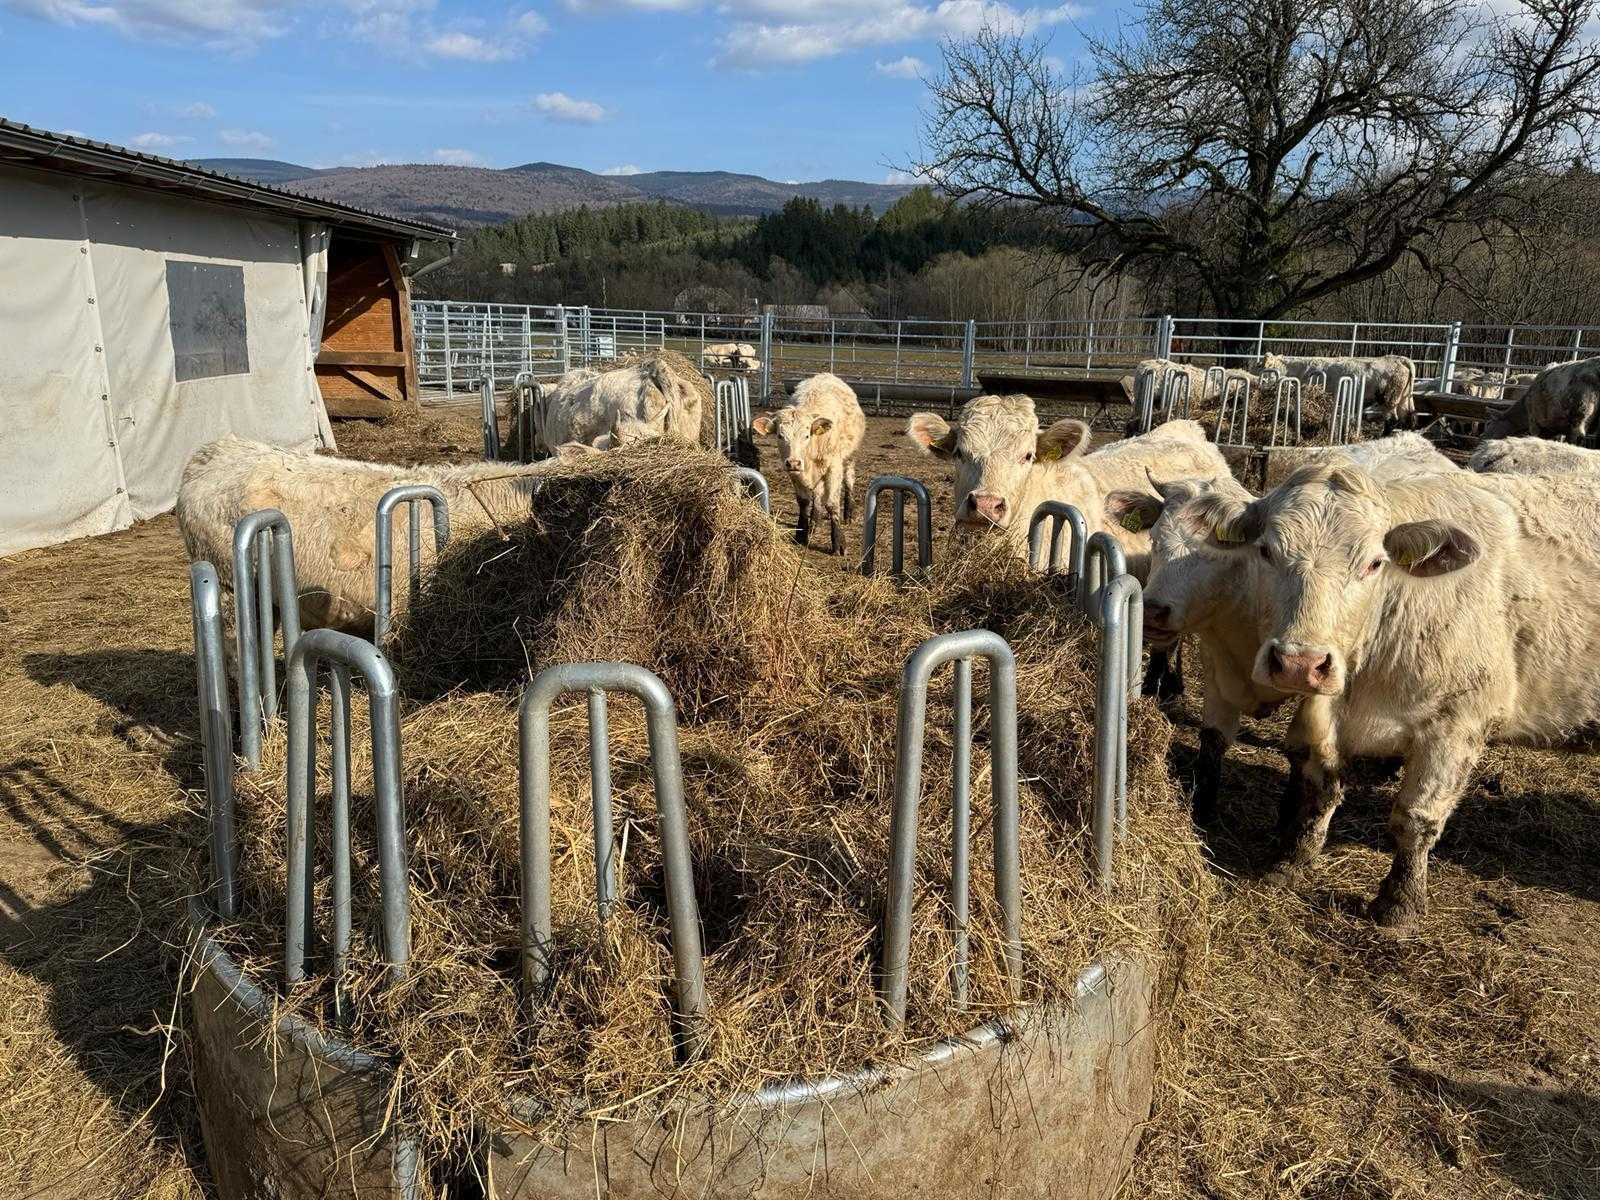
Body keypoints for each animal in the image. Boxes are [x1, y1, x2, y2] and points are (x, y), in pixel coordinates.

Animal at [748, 374, 864, 556]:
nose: (794, 462)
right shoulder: (794, 472)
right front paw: (801, 533)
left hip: (850, 457)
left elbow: (832, 504)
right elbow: (803, 501)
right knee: (817, 493)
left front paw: (838, 542)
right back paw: (815, 522)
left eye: (806, 435)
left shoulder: (833, 467)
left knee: (849, 480)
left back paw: (848, 513)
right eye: (780, 435)